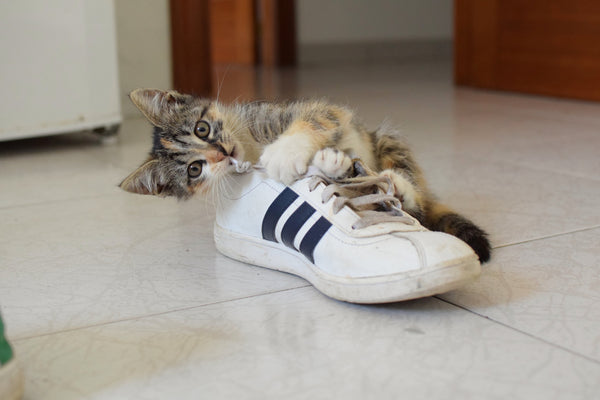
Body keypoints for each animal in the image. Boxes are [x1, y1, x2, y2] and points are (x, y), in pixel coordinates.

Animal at [119, 88, 490, 260]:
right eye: (195, 170)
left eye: (202, 128)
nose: (221, 153)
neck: (249, 146)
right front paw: (331, 163)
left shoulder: (299, 112)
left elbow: (317, 117)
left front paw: (287, 152)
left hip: (386, 138)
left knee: (416, 202)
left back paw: (397, 185)